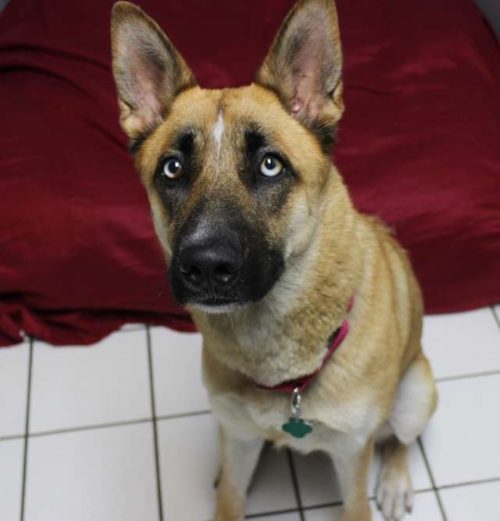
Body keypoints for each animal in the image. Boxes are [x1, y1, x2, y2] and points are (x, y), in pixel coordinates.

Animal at [110, 1, 438, 516]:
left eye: (270, 165)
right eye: (173, 169)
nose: (206, 267)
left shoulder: (352, 453)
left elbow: (358, 499)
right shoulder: (239, 438)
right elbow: (231, 496)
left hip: (415, 395)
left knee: (399, 440)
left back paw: (395, 481)